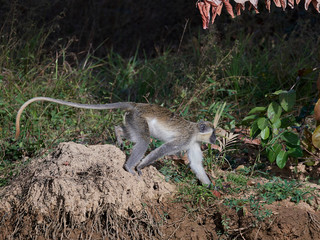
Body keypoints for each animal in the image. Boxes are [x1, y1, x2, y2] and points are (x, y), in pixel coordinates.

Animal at [14, 96, 215, 185]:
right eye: (213, 133)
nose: (214, 139)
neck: (195, 131)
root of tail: (136, 105)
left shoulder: (194, 144)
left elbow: (196, 165)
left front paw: (210, 187)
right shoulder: (186, 138)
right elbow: (163, 149)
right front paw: (141, 167)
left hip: (132, 120)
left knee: (133, 134)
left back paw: (119, 133)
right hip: (138, 118)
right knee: (144, 140)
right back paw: (129, 167)